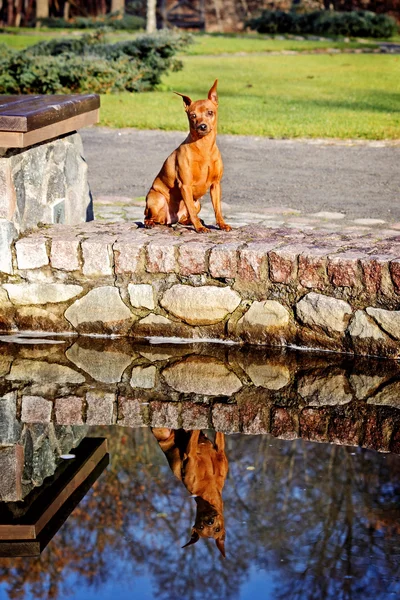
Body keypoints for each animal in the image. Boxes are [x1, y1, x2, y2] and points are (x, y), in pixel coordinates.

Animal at [145, 81, 231, 234]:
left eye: (210, 112)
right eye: (193, 115)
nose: (202, 126)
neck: (204, 148)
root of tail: (169, 219)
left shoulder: (216, 185)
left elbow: (218, 209)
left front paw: (222, 224)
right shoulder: (185, 185)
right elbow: (191, 210)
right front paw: (199, 228)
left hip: (198, 203)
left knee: (185, 217)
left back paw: (190, 221)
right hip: (156, 199)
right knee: (147, 217)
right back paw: (150, 222)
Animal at [152, 428, 228, 556]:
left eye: (217, 529)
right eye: (201, 527)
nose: (210, 521)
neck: (209, 491)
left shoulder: (220, 450)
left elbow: (217, 435)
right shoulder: (190, 455)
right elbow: (193, 439)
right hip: (163, 434)